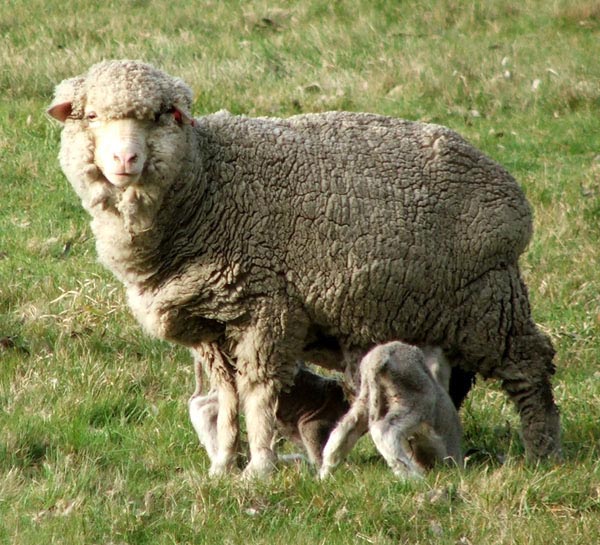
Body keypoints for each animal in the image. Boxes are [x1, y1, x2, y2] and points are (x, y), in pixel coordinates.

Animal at [322, 342, 462, 478]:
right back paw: (413, 477)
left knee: (343, 430)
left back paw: (325, 474)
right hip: (414, 400)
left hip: (366, 398)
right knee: (384, 431)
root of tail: (379, 354)